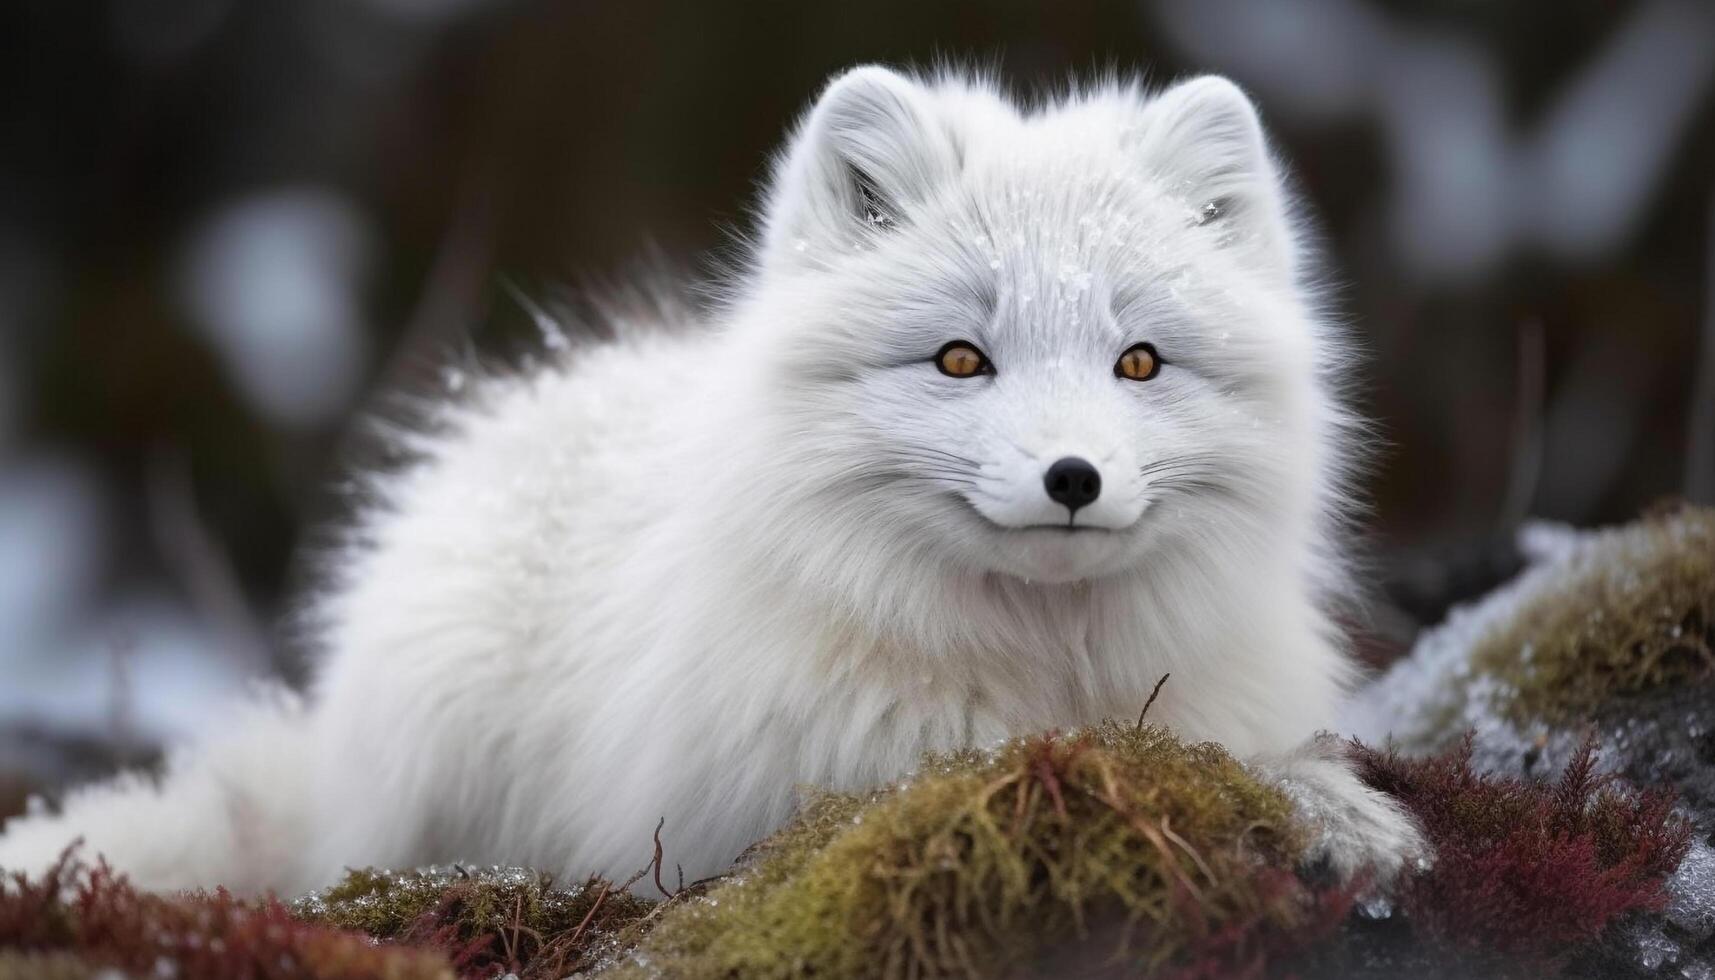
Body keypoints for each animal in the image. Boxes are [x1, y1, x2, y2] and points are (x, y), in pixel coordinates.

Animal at [0, 66, 1420, 899]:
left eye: (1137, 361)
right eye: (961, 359)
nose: (1070, 475)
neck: (1046, 659)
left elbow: (1240, 749)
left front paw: (1335, 806)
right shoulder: (811, 778)